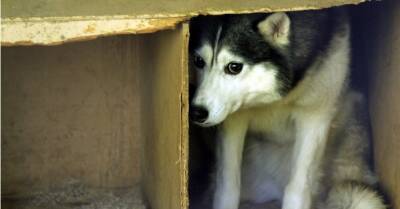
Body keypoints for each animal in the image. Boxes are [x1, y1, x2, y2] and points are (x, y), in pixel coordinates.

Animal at [189, 8, 386, 209]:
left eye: (234, 67)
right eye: (198, 61)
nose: (197, 112)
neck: (275, 99)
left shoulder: (314, 116)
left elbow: (297, 189)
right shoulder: (233, 119)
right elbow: (227, 187)